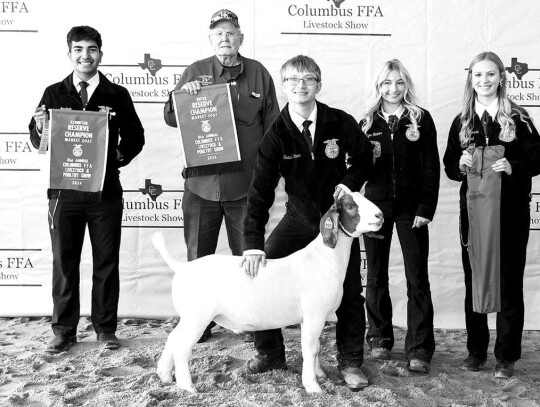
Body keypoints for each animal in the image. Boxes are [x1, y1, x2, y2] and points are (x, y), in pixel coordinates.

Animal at [153, 193, 384, 394]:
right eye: (350, 206)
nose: (380, 215)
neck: (323, 258)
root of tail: (182, 267)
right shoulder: (315, 313)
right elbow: (309, 349)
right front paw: (313, 387)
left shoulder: (309, 317)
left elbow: (316, 347)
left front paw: (319, 375)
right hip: (198, 317)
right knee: (182, 347)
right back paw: (188, 387)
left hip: (188, 316)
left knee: (173, 338)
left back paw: (164, 375)